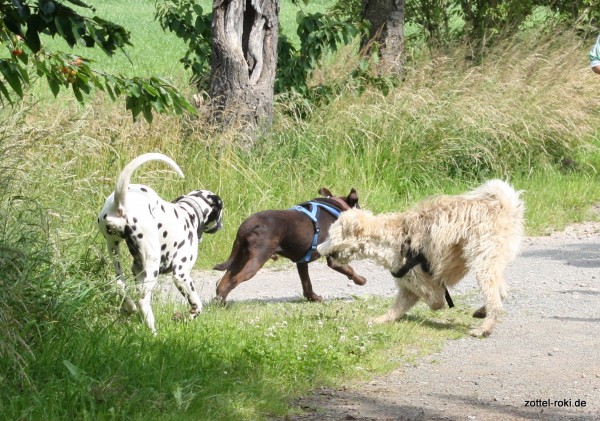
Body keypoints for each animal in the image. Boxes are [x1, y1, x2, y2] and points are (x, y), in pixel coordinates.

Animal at [97, 153, 224, 334]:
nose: (221, 224)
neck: (189, 213)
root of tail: (120, 203)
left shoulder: (138, 270)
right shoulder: (181, 275)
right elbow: (197, 306)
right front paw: (187, 316)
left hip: (114, 250)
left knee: (120, 284)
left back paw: (130, 307)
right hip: (152, 263)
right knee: (143, 301)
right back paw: (153, 332)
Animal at [214, 188, 366, 302]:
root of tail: (247, 225)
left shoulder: (302, 261)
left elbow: (307, 283)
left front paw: (313, 298)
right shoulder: (333, 258)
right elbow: (349, 270)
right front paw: (361, 280)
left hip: (241, 256)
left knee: (223, 281)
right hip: (256, 260)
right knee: (233, 280)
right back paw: (221, 302)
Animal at [318, 179, 524, 336]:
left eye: (331, 234)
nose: (319, 249)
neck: (391, 237)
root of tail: (502, 206)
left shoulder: (420, 280)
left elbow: (434, 300)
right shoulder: (407, 285)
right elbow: (397, 308)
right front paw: (380, 319)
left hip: (483, 260)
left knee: (495, 300)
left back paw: (484, 328)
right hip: (490, 260)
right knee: (501, 291)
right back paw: (483, 311)